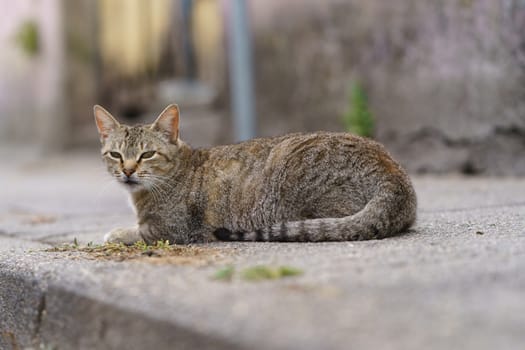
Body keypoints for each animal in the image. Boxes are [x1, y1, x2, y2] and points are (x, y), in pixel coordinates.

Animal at [93, 104, 414, 246]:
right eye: (116, 155)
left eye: (147, 154)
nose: (128, 170)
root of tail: (392, 169)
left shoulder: (172, 230)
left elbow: (135, 233)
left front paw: (116, 232)